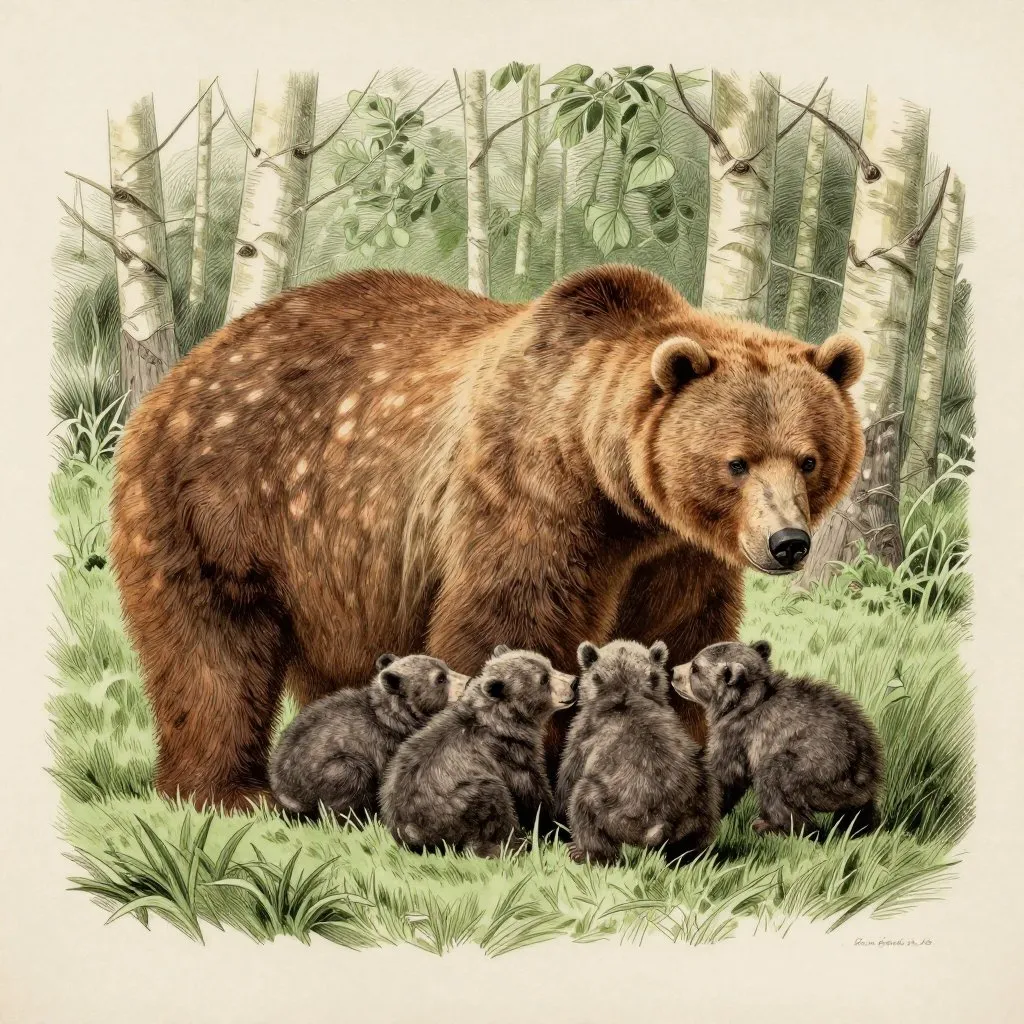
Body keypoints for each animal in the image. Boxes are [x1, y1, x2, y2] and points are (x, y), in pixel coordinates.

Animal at [268, 652, 469, 822]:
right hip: (330, 771)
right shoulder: (383, 743)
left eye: (446, 666)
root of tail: (286, 793)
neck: (393, 717)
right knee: (349, 779)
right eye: (440, 678)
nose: (468, 681)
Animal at [379, 646, 576, 857]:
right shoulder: (507, 753)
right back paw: (514, 845)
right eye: (543, 679)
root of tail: (412, 833)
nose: (573, 682)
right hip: (460, 801)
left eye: (549, 664)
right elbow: (531, 791)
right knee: (492, 805)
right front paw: (557, 826)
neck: (500, 721)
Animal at [555, 639, 719, 866]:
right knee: (697, 833)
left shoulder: (584, 734)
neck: (626, 689)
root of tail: (654, 827)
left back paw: (584, 852)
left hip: (614, 808)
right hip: (700, 793)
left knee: (583, 802)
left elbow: (568, 779)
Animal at [671, 640, 884, 839]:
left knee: (775, 782)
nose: (673, 671)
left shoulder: (738, 732)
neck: (741, 700)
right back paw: (859, 827)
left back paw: (772, 827)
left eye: (695, 667)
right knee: (860, 810)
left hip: (814, 767)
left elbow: (726, 774)